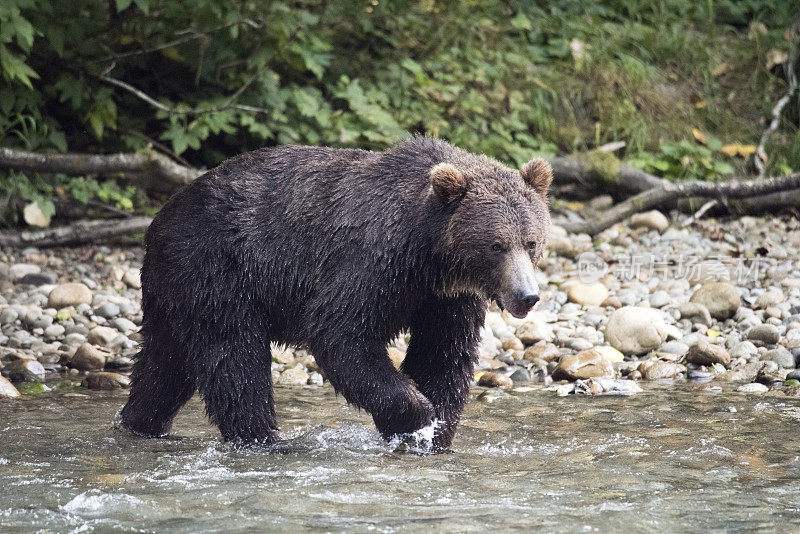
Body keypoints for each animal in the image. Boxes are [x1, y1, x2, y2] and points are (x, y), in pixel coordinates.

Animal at [122, 136, 552, 450]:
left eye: (531, 242)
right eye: (496, 245)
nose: (526, 296)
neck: (428, 253)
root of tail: (160, 218)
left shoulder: (446, 298)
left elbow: (442, 354)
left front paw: (434, 433)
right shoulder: (371, 262)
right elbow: (341, 333)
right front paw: (416, 415)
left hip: (174, 292)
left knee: (164, 365)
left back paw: (139, 422)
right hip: (217, 270)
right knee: (234, 359)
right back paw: (265, 438)